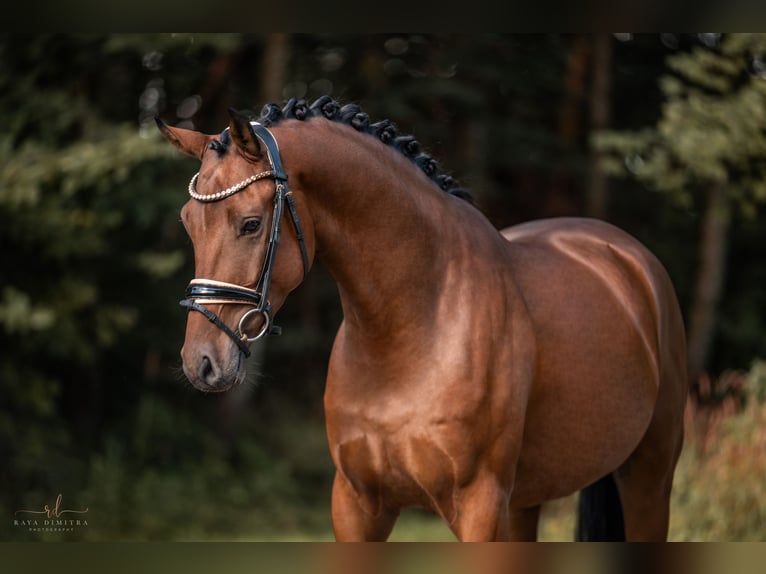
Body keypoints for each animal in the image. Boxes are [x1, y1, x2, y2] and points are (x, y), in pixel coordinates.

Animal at [156, 97, 688, 544]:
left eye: (250, 223)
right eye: (188, 222)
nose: (201, 362)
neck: (411, 330)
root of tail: (629, 259)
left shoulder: (478, 507)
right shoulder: (356, 505)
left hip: (648, 476)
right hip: (526, 501)